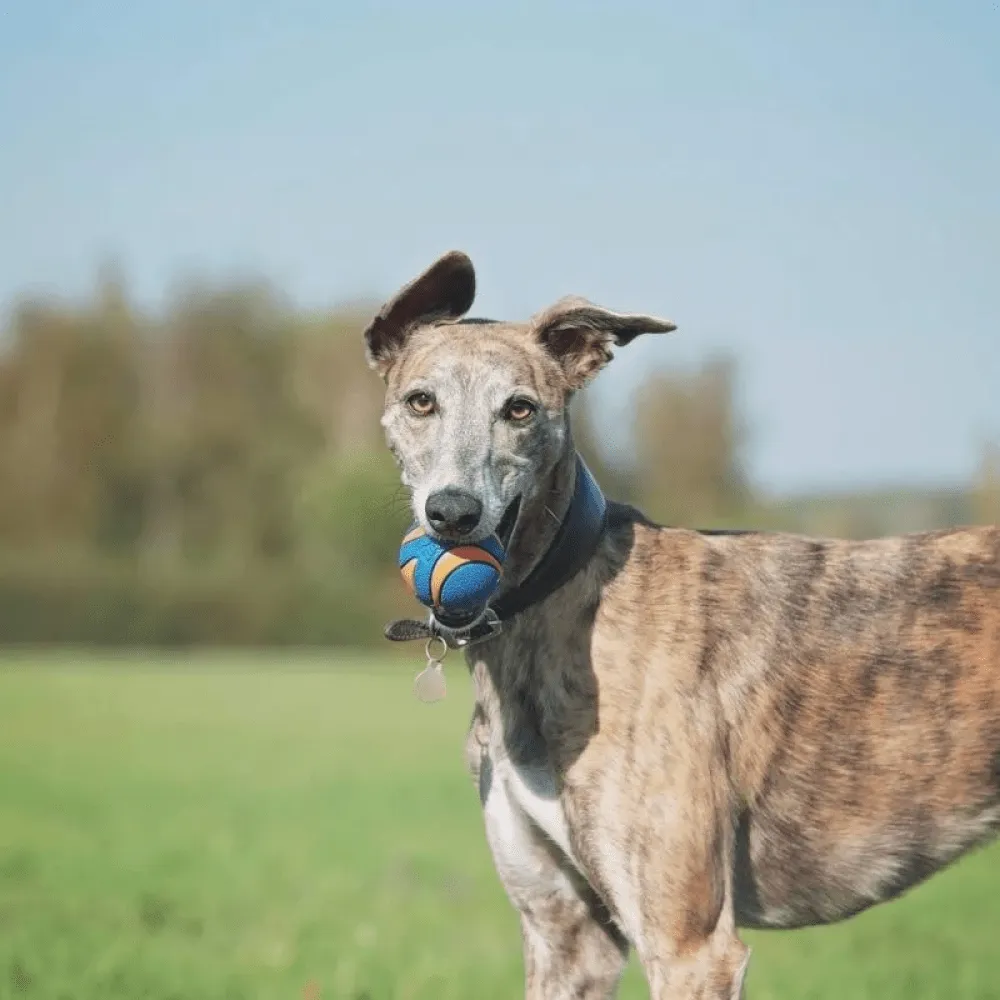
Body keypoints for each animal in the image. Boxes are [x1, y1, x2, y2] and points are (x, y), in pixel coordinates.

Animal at [362, 248, 1000, 992]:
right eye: (421, 401)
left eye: (519, 408)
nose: (453, 514)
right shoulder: (564, 931)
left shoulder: (691, 945)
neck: (567, 601)